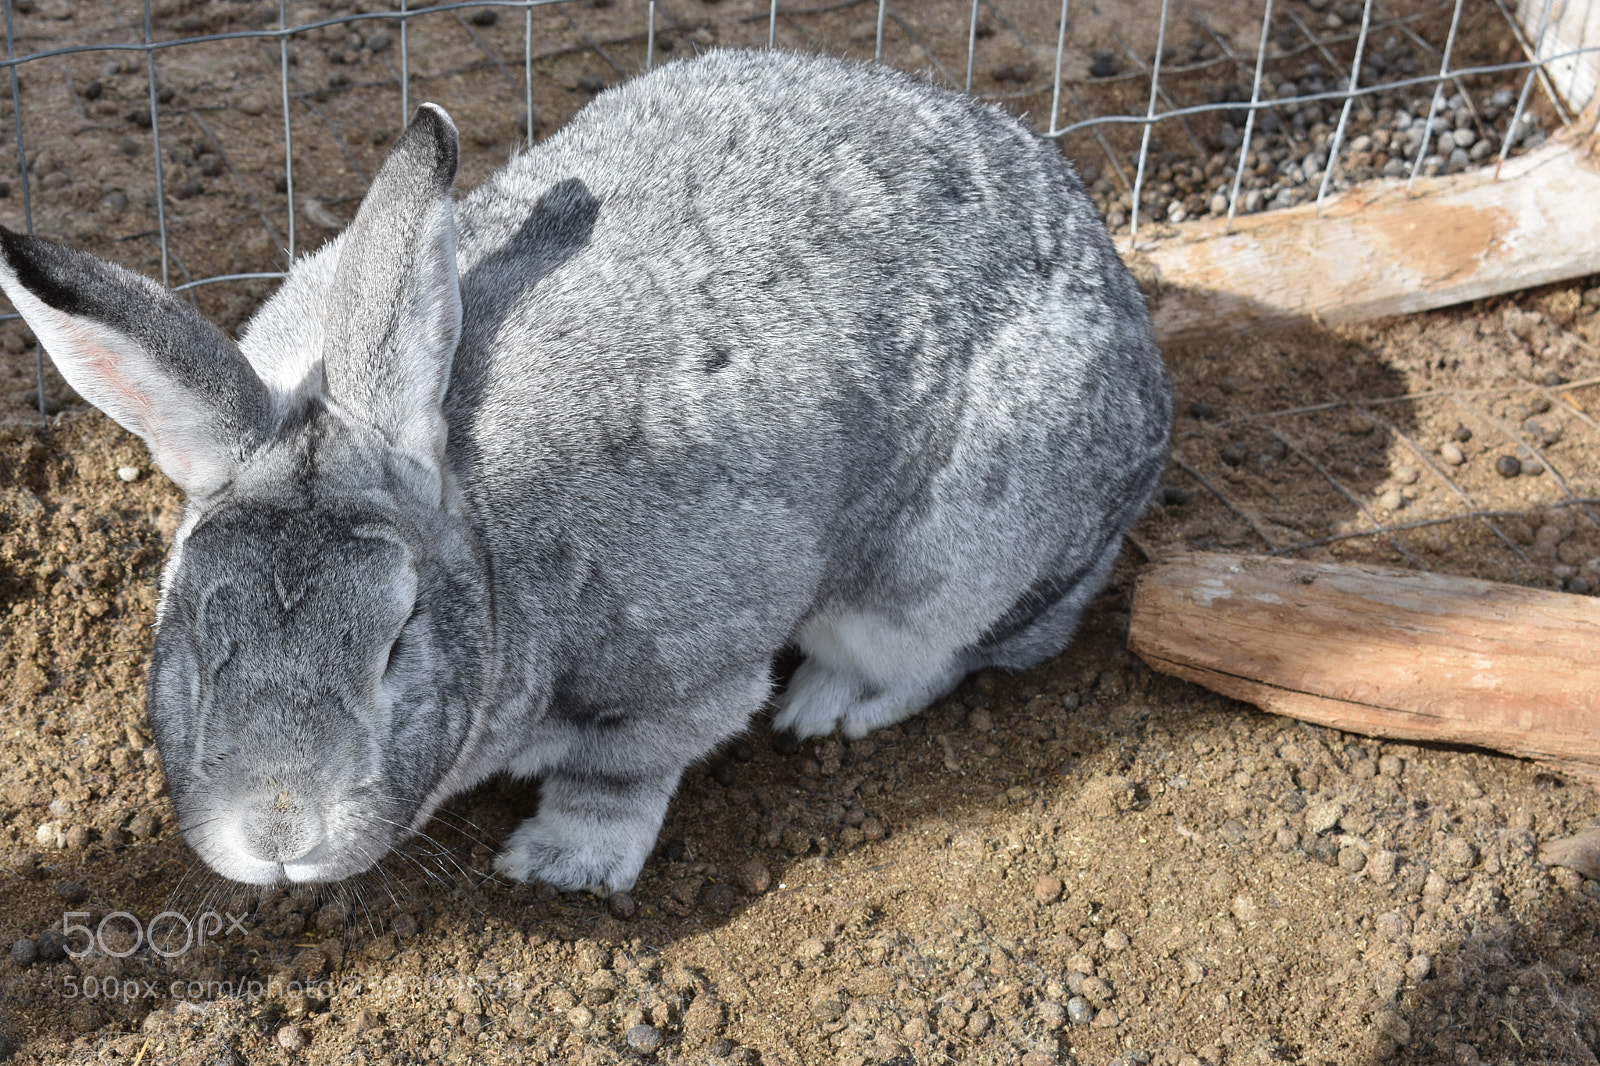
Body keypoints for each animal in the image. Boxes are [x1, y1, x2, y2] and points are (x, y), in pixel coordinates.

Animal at [0, 48, 1170, 894]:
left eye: (396, 642)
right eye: (193, 632)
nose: (279, 832)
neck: (477, 514)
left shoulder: (684, 672)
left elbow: (619, 772)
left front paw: (561, 864)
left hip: (950, 565)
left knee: (953, 649)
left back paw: (826, 708)